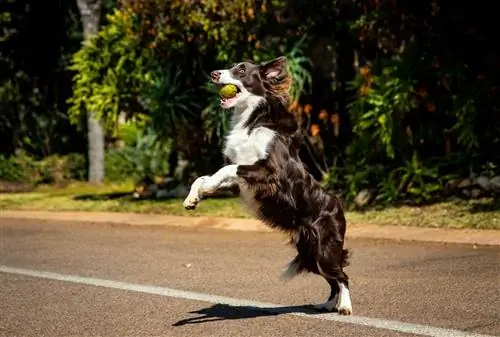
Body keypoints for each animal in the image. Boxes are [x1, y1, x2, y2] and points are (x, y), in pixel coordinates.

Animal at [183, 55, 352, 316]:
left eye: (241, 70)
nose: (213, 74)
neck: (252, 120)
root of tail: (338, 205)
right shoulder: (241, 184)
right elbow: (203, 176)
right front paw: (194, 197)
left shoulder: (272, 174)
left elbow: (226, 169)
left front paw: (206, 188)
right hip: (310, 252)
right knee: (332, 279)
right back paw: (326, 304)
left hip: (325, 248)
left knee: (342, 276)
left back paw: (344, 306)